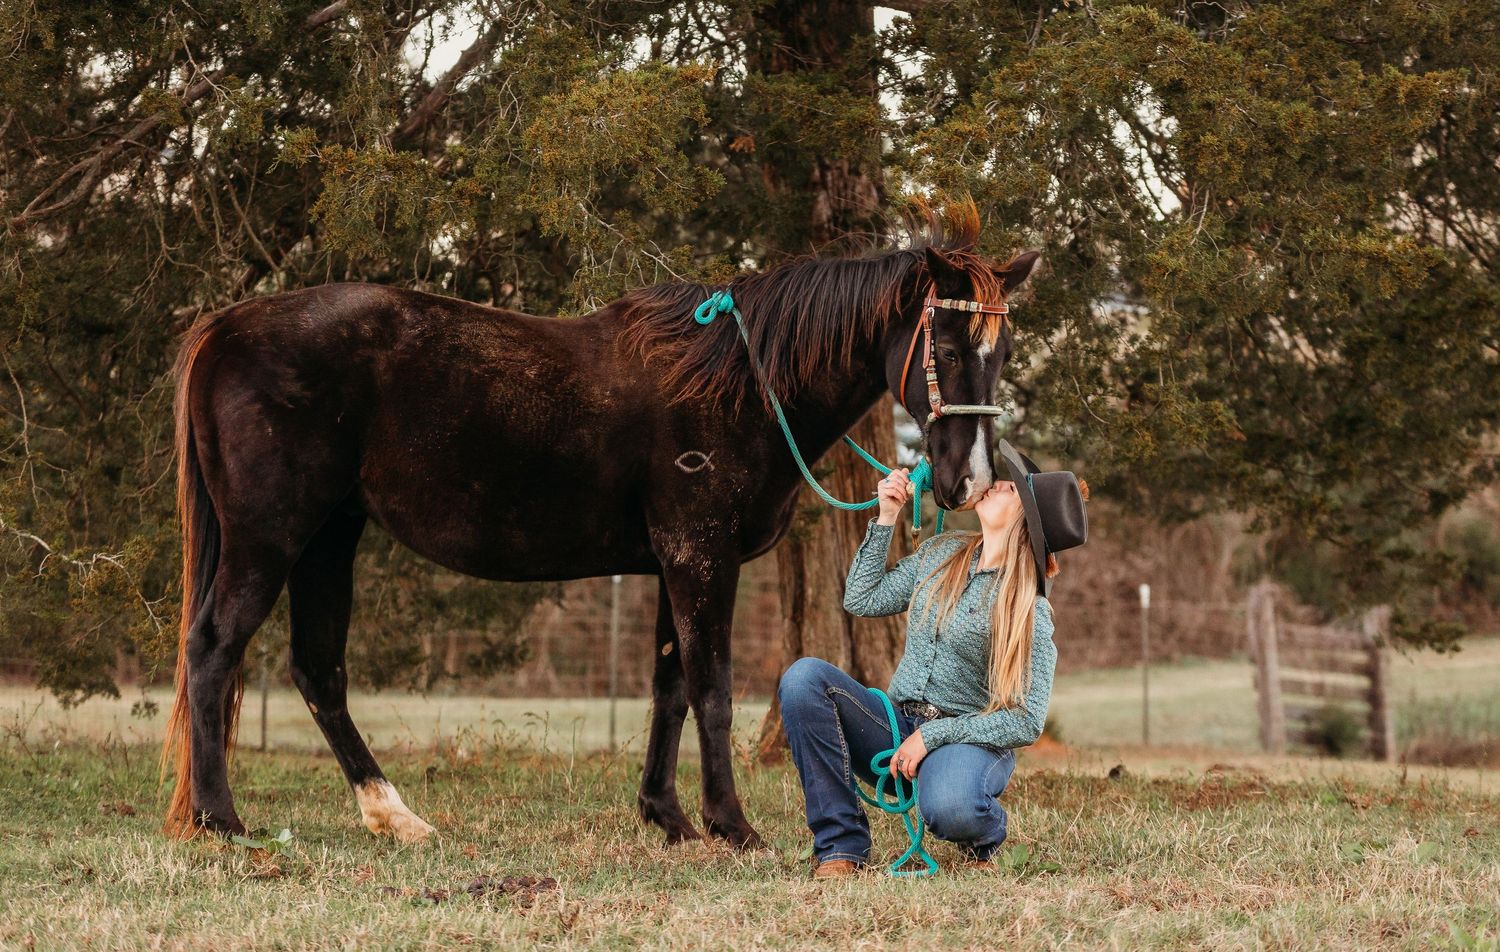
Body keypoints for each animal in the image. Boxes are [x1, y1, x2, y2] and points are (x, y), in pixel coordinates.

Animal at [160, 204, 1041, 848]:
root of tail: (227, 327)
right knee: (215, 649)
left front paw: (669, 816)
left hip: (327, 538)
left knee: (318, 671)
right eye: (946, 346)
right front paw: (731, 824)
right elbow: (712, 687)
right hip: (272, 536)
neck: (736, 385)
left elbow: (670, 686)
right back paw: (221, 818)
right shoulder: (700, 558)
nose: (968, 480)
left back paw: (391, 815)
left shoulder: (674, 565)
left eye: (1000, 354)